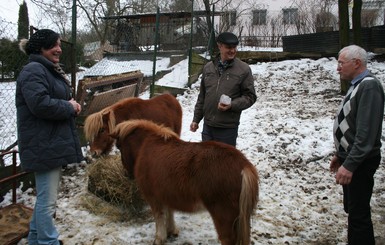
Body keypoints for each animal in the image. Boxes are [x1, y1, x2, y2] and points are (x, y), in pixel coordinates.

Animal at [109, 119, 258, 245]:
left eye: (119, 146)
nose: (127, 175)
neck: (146, 146)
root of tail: (244, 166)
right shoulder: (166, 194)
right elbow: (169, 212)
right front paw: (171, 231)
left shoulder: (153, 198)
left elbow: (159, 217)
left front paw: (159, 238)